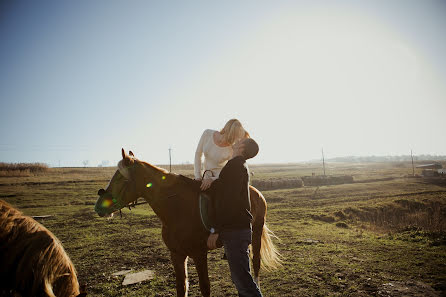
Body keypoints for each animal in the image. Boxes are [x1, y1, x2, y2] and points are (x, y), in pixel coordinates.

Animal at [95, 149, 280, 294]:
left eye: (120, 179)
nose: (98, 207)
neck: (178, 208)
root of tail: (255, 192)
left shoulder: (199, 254)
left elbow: (205, 287)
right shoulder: (176, 254)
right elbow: (181, 287)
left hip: (256, 232)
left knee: (255, 263)